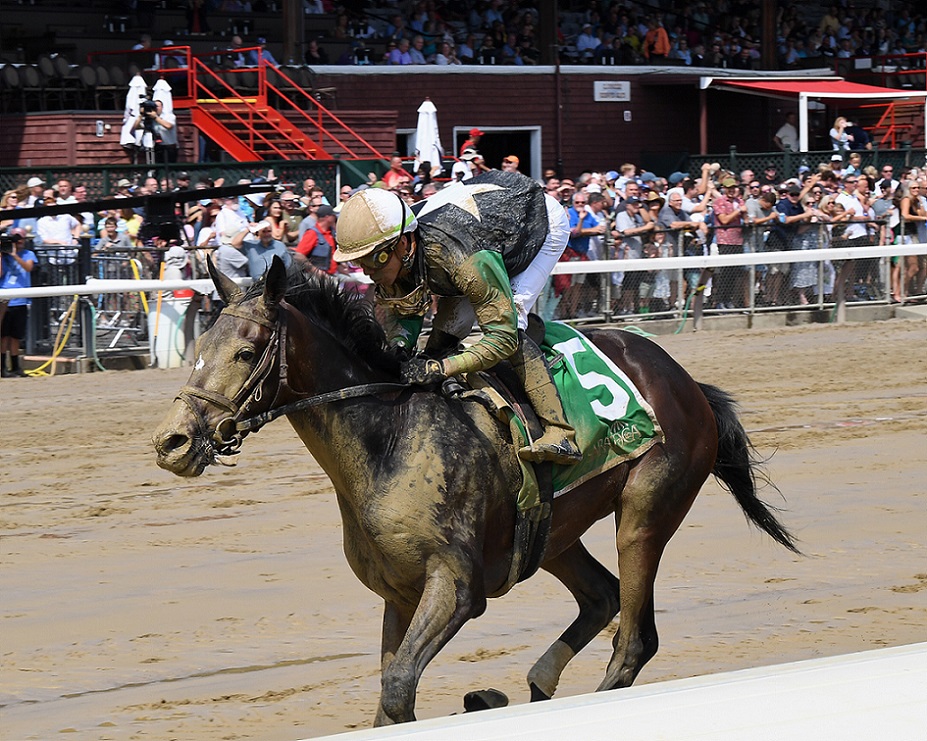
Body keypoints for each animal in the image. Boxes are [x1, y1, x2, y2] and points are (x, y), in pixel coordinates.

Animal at [152, 257, 799, 726]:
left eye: (246, 349)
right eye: (200, 346)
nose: (173, 442)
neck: (390, 437)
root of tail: (686, 382)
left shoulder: (456, 587)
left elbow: (398, 685)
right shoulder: (399, 595)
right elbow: (391, 697)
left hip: (644, 512)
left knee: (635, 638)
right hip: (552, 532)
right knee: (602, 595)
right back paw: (534, 683)